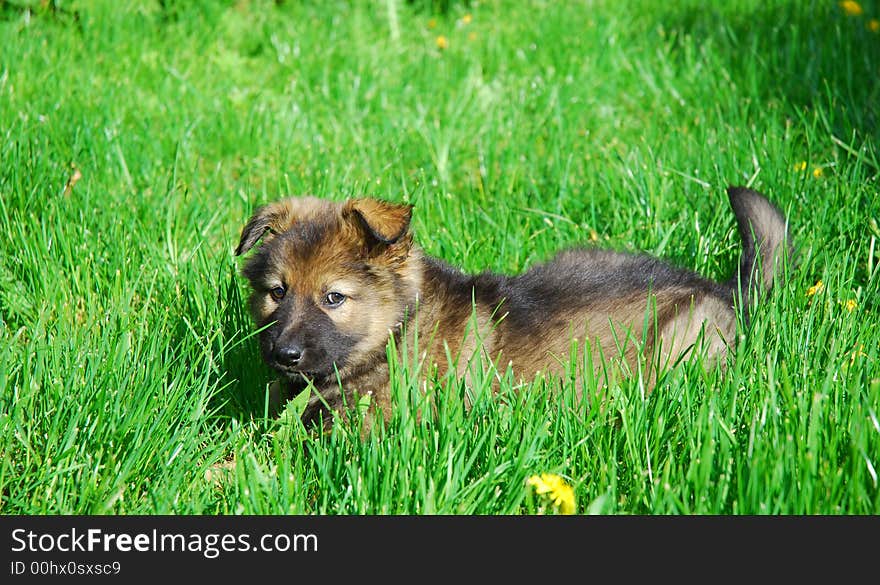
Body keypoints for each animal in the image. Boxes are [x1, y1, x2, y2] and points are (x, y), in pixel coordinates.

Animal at [234, 187, 792, 428]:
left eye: (334, 297)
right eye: (277, 292)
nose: (283, 355)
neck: (399, 329)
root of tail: (721, 288)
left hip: (684, 344)